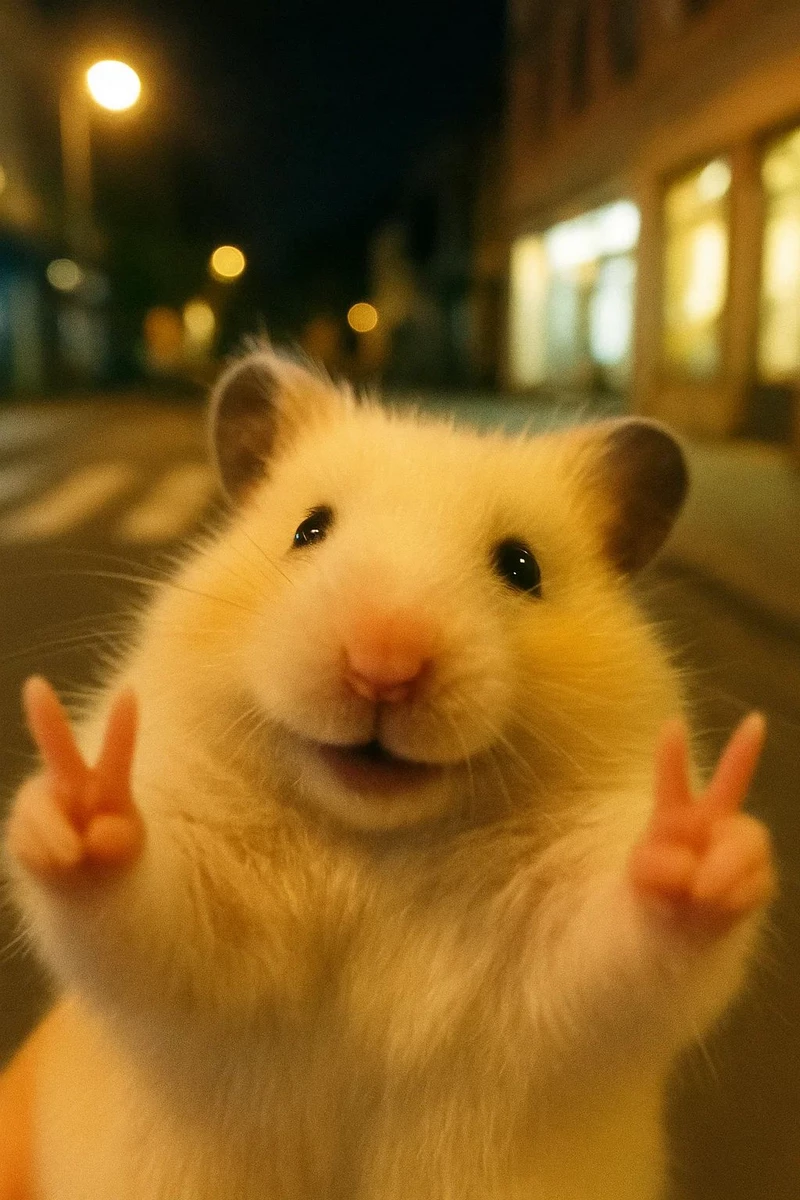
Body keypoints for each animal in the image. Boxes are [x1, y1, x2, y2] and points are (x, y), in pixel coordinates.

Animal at [1, 345, 775, 1200]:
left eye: (521, 567)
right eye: (309, 529)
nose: (384, 664)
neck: (377, 843)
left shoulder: (563, 972)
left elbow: (622, 931)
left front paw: (700, 840)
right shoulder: (199, 931)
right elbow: (142, 905)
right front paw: (79, 796)